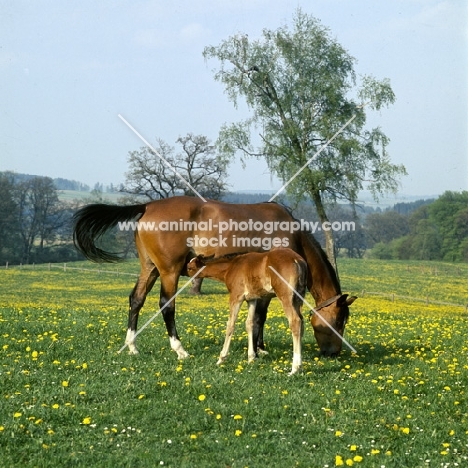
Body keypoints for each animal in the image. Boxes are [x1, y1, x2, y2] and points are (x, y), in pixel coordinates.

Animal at [73, 197, 356, 358]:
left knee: (136, 300)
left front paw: (258, 348)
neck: (290, 232)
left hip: (150, 268)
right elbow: (260, 317)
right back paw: (180, 350)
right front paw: (260, 348)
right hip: (169, 271)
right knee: (166, 305)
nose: (333, 353)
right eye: (339, 322)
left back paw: (132, 346)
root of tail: (147, 206)